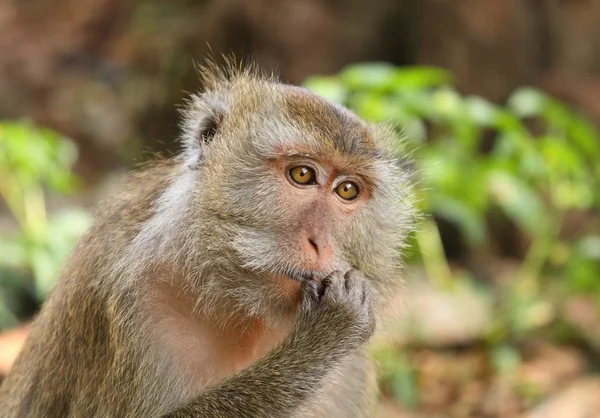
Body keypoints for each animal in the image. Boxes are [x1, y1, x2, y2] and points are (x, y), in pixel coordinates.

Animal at [0, 60, 414, 416]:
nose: (321, 244)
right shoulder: (134, 303)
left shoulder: (351, 369)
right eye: (302, 174)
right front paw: (324, 336)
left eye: (347, 190)